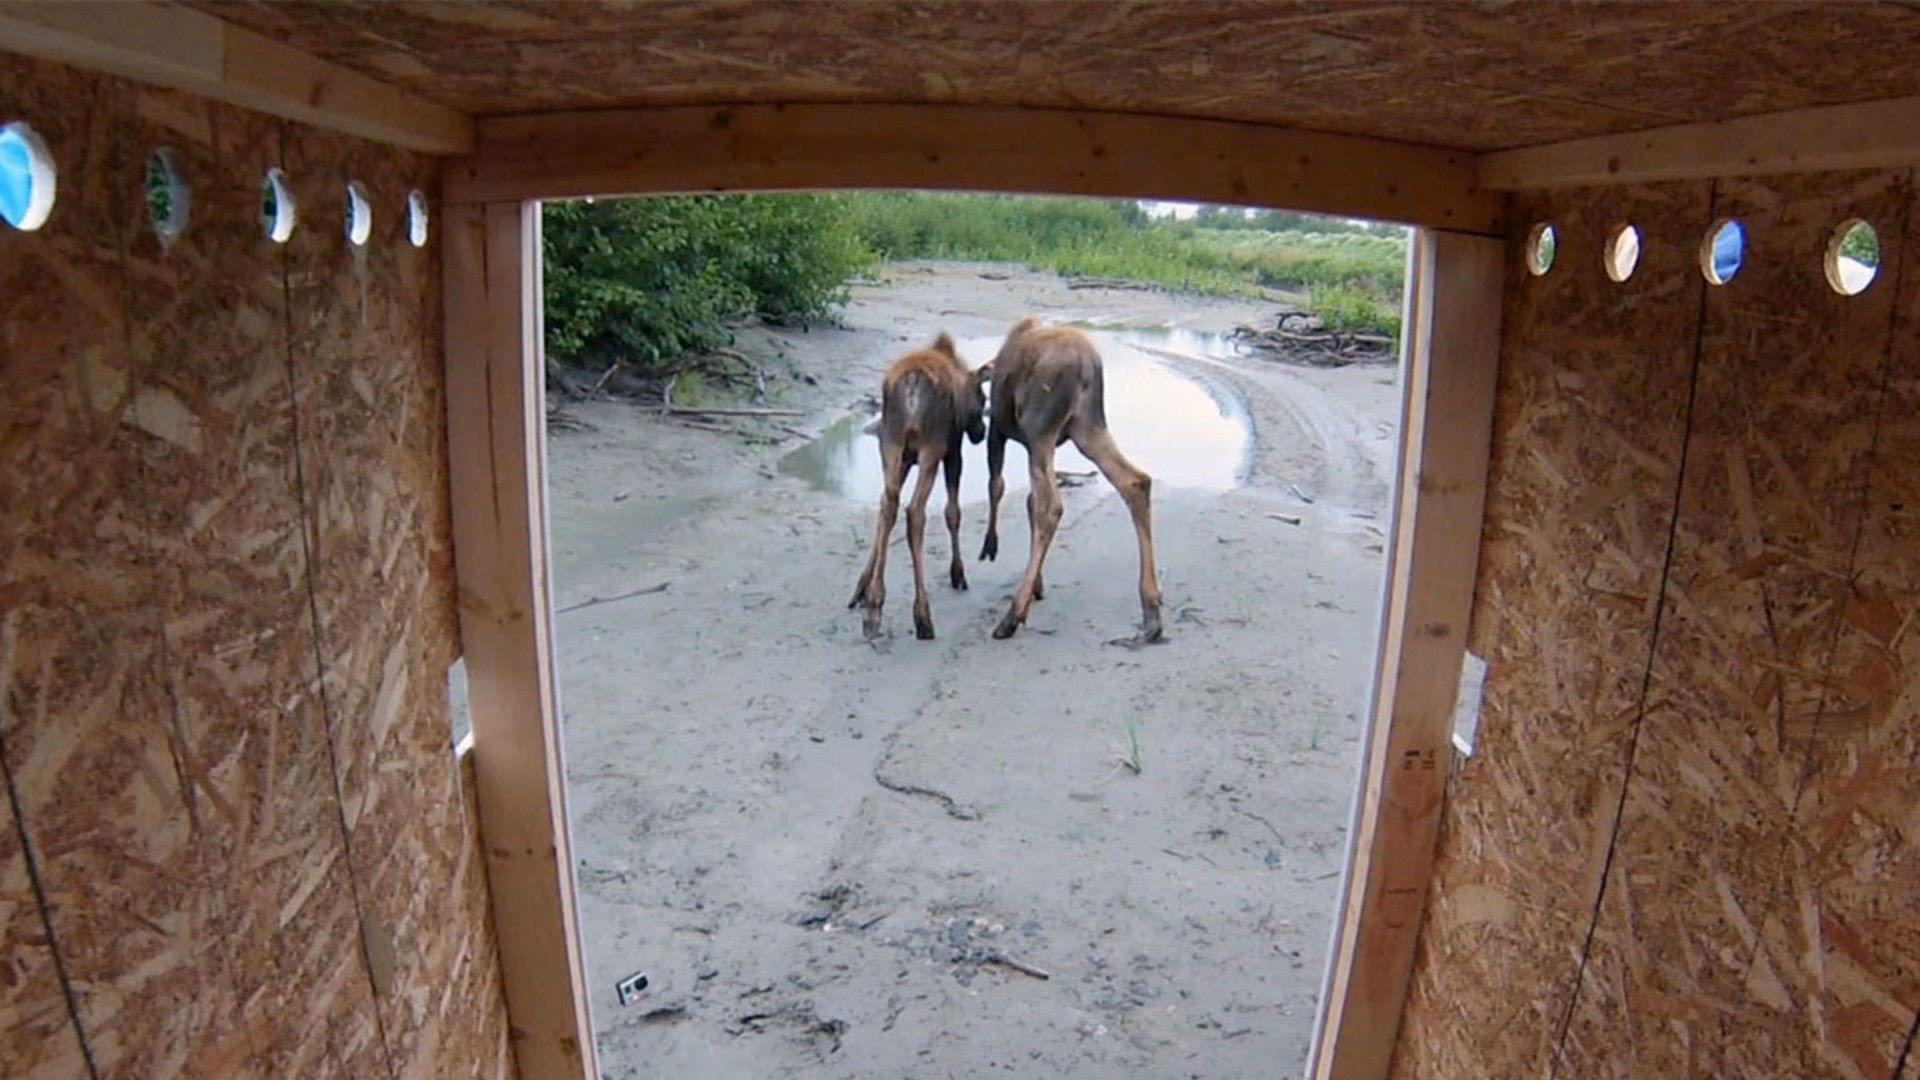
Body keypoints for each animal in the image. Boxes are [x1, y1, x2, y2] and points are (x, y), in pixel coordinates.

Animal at [848, 333, 990, 640]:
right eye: (983, 397)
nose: (981, 433)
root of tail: (911, 384)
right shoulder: (953, 449)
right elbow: (952, 512)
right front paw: (958, 573)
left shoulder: (902, 460)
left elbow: (884, 507)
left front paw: (863, 587)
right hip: (930, 449)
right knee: (915, 512)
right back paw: (922, 616)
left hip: (890, 443)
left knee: (889, 504)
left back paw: (875, 608)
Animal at [979, 317, 1162, 643]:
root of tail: (1087, 365)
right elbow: (1027, 500)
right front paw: (1037, 585)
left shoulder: (998, 431)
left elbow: (997, 486)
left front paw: (991, 547)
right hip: (1087, 427)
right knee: (1136, 481)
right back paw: (1152, 611)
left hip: (1042, 428)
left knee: (1051, 506)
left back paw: (1012, 616)